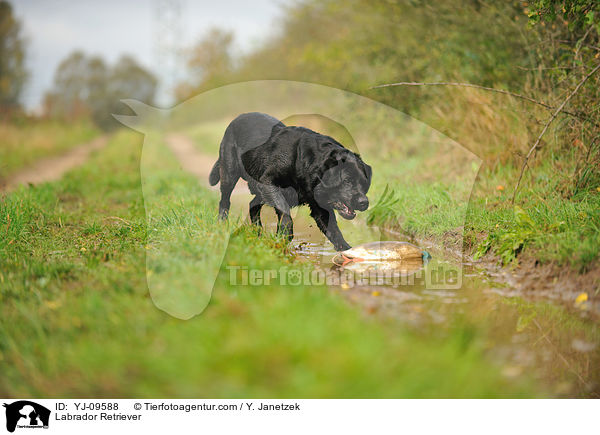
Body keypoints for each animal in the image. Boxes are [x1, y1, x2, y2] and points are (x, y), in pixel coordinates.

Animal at [210, 112, 370, 252]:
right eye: (347, 180)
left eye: (364, 183)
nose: (364, 202)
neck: (303, 161)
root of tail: (237, 119)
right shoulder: (268, 182)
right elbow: (285, 211)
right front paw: (283, 236)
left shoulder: (319, 206)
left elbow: (334, 230)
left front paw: (346, 249)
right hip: (230, 173)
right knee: (225, 201)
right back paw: (222, 226)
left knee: (252, 205)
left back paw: (258, 232)